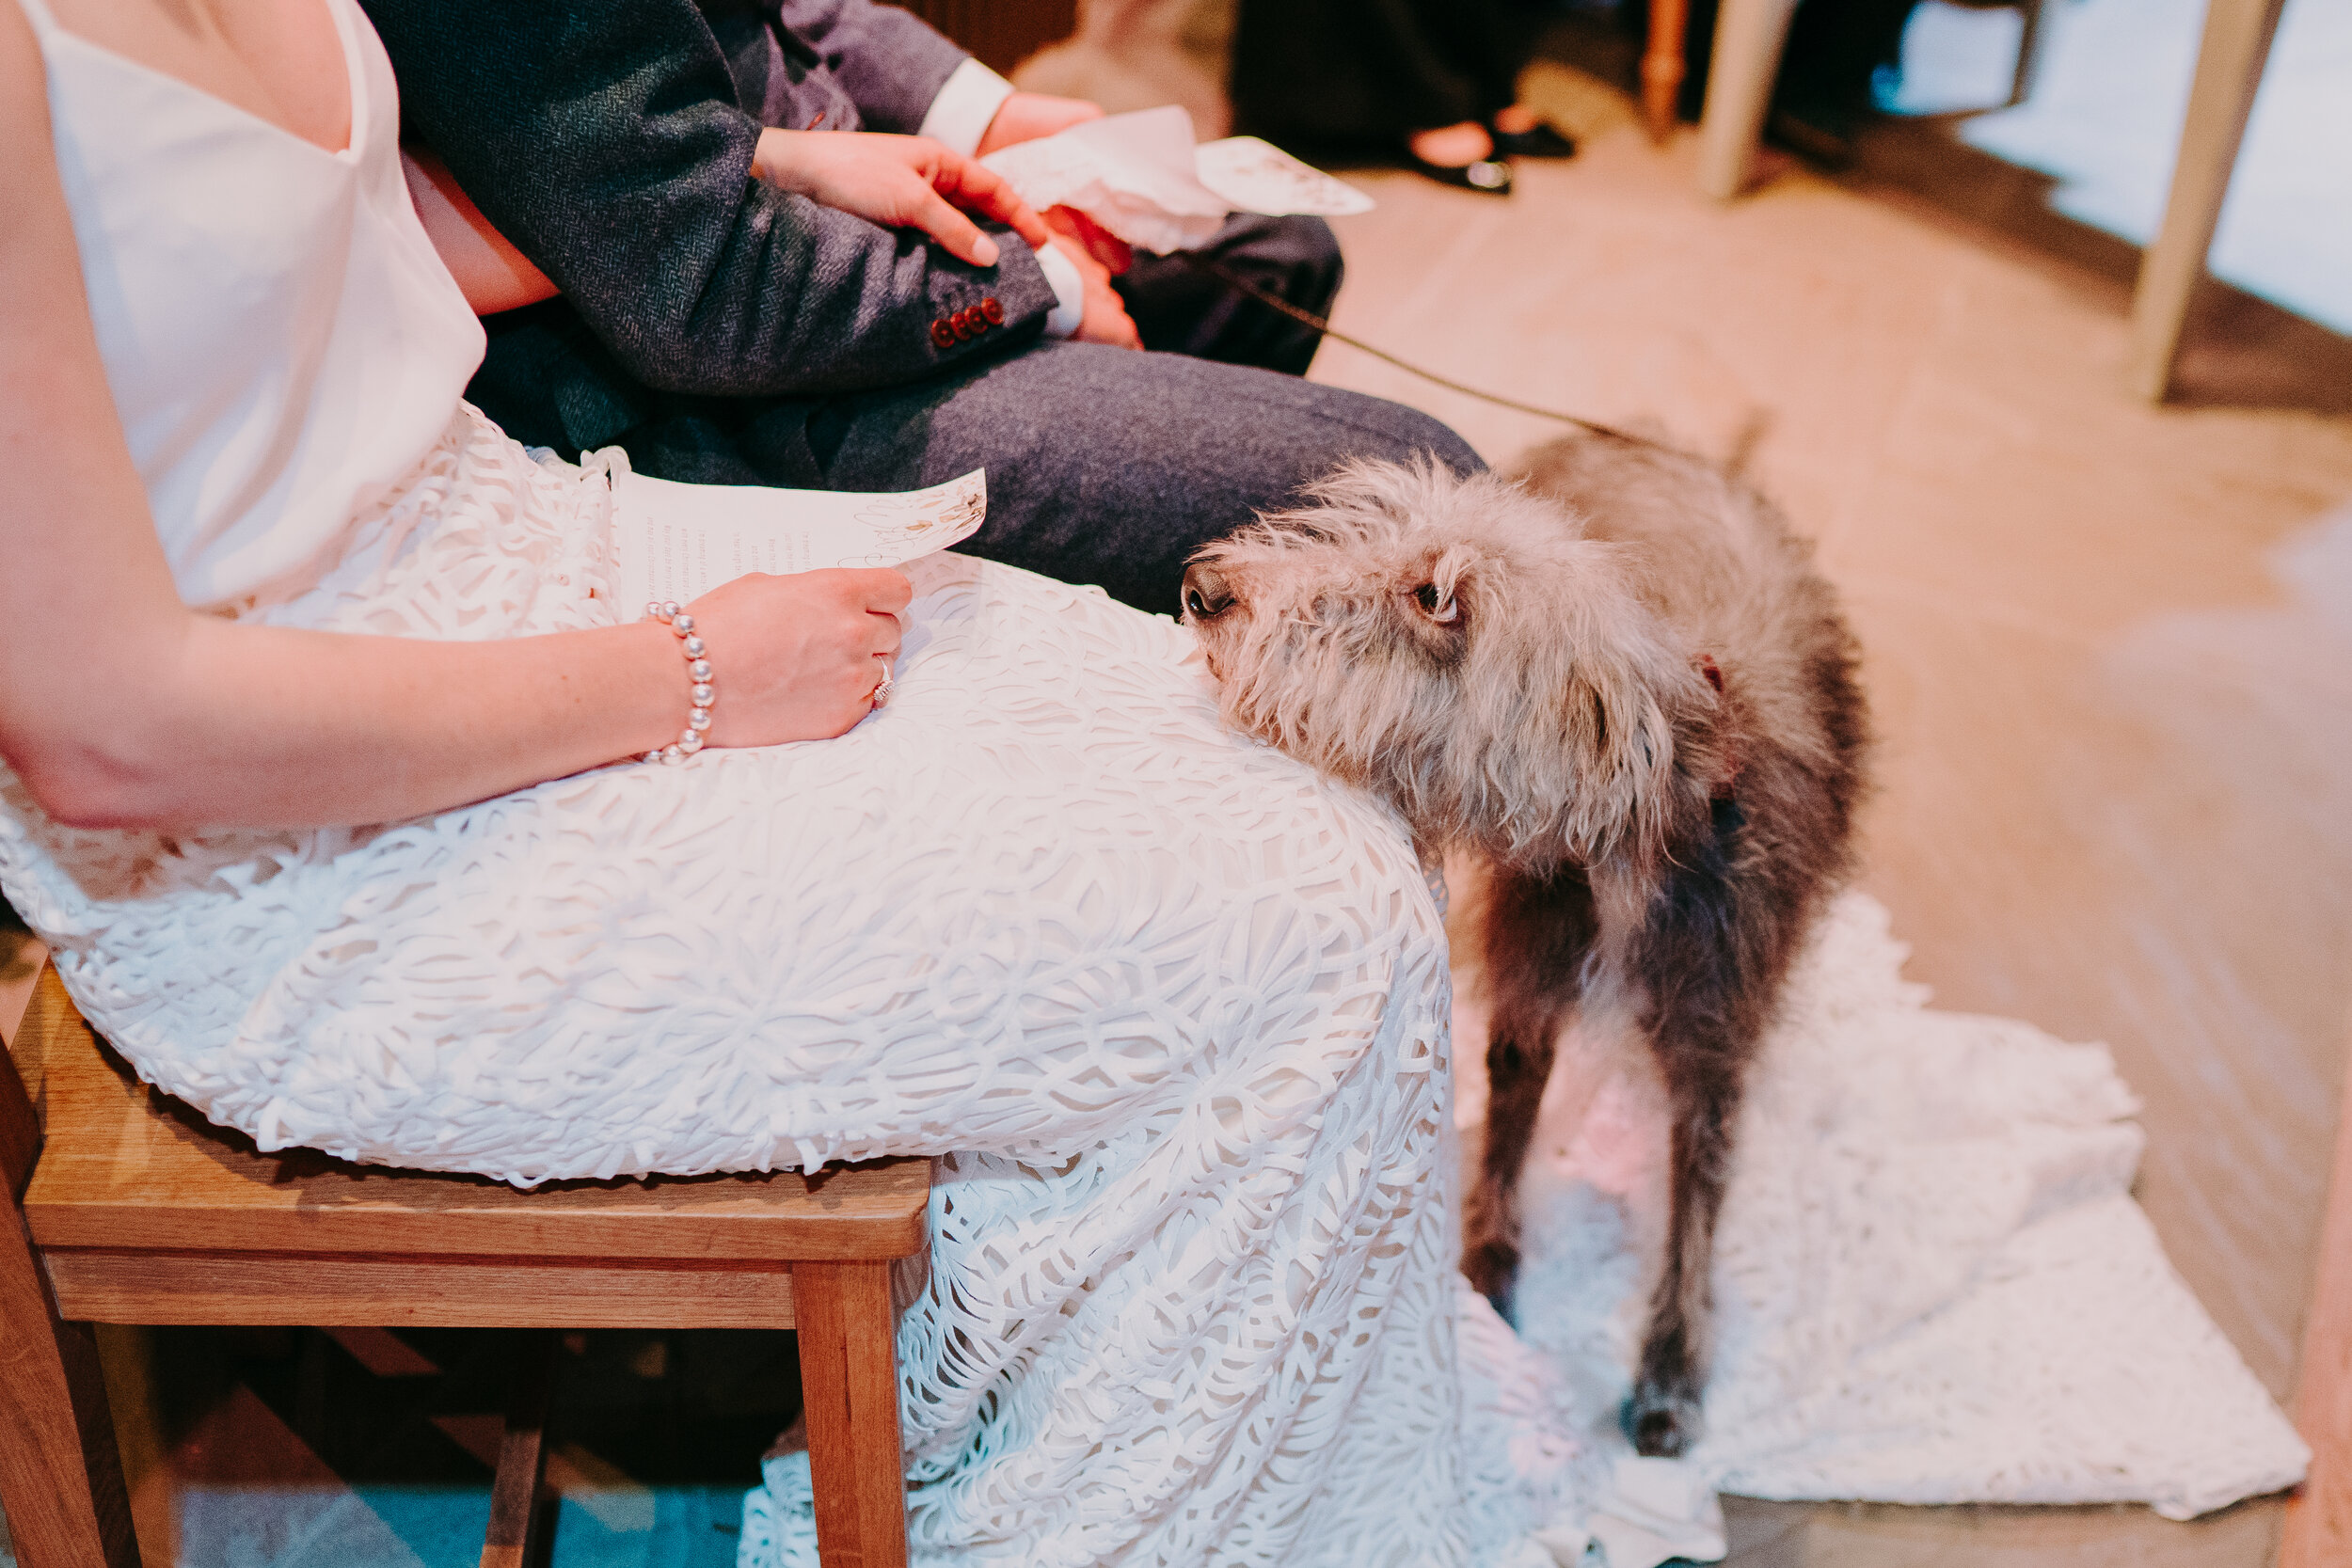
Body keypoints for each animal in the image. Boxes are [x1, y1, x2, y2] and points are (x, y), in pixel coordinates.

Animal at [1185, 430, 1863, 1457]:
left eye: (1435, 598)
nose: (1204, 586)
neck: (1635, 846)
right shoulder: (1531, 983)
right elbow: (1508, 1120)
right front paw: (1489, 1271)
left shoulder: (1715, 1033)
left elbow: (1697, 1196)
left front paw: (1670, 1368)